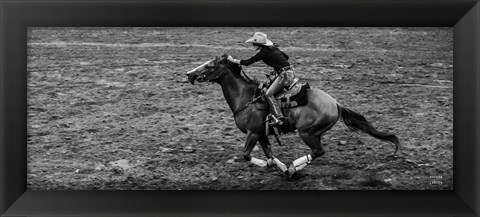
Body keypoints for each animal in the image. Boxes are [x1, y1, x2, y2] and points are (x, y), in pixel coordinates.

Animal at [186, 55, 400, 179]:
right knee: (317, 151)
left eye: (210, 65)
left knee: (318, 151)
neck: (246, 98)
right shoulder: (262, 134)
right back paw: (291, 169)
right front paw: (278, 166)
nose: (189, 74)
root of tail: (335, 103)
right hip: (315, 132)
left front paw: (278, 167)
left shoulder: (252, 133)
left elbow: (247, 155)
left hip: (307, 132)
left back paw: (294, 168)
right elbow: (270, 155)